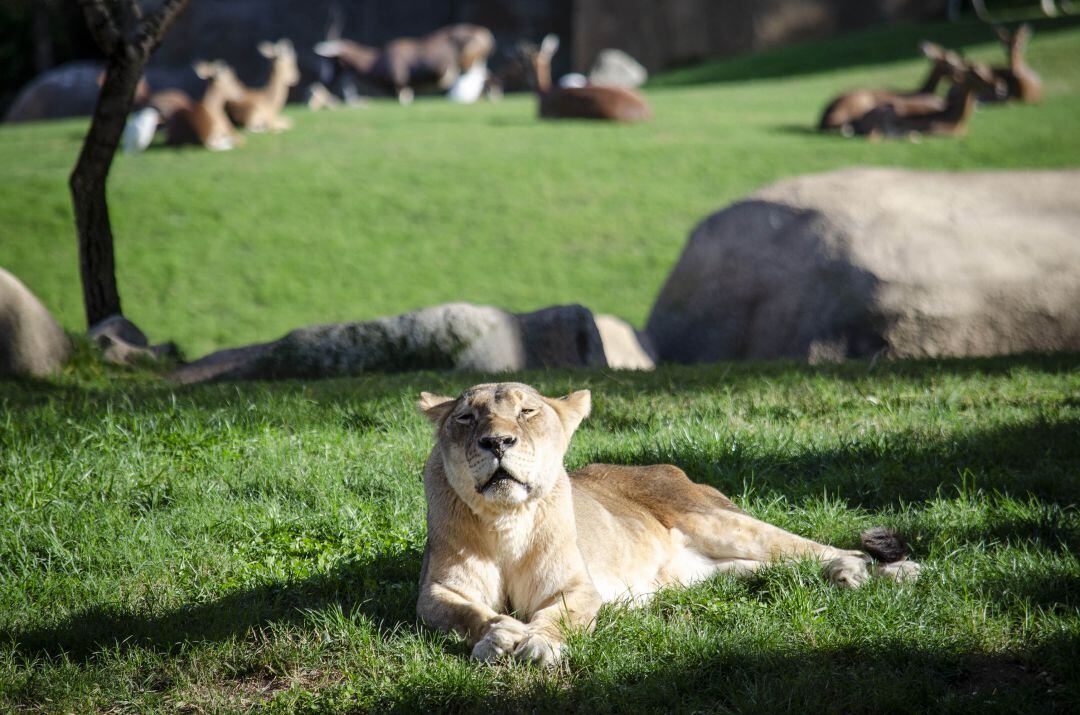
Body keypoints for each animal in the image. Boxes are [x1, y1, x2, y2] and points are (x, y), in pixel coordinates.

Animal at [315, 23, 494, 104]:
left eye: (332, 60)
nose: (325, 80)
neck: (378, 60)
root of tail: (484, 34)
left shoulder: (400, 86)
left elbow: (404, 99)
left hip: (469, 66)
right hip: (476, 65)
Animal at [851, 57, 1002, 140]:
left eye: (989, 70)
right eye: (977, 74)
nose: (1001, 88)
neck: (954, 118)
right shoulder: (935, 129)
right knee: (876, 136)